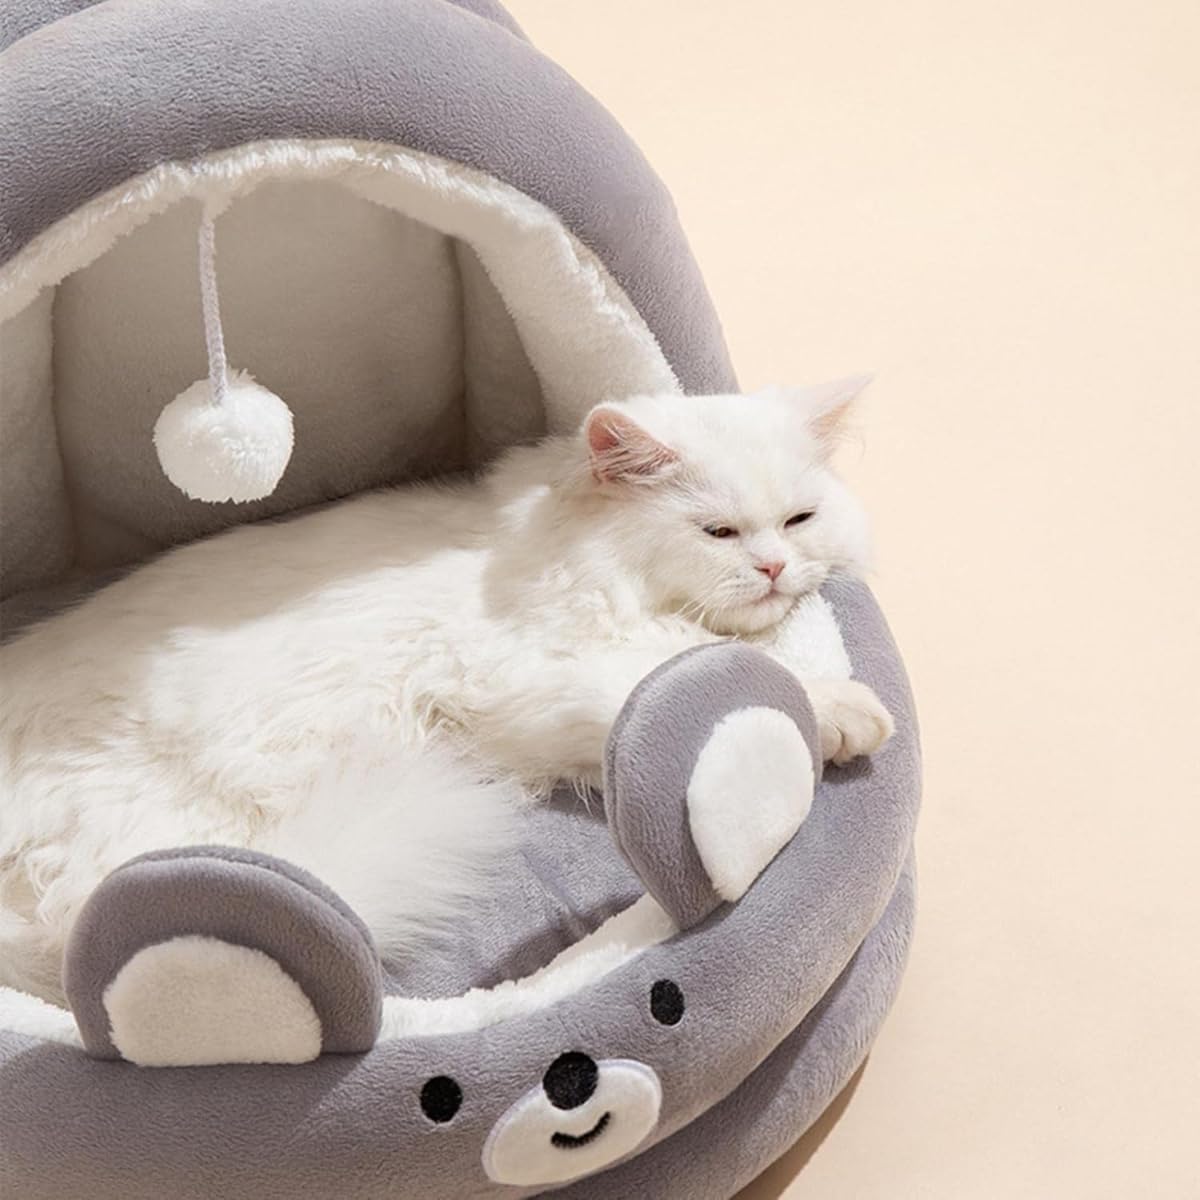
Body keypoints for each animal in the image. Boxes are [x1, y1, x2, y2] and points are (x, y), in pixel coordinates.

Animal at [0, 380, 892, 1005]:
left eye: (800, 520)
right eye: (718, 532)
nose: (774, 568)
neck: (564, 549)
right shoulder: (533, 668)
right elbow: (716, 666)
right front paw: (849, 711)